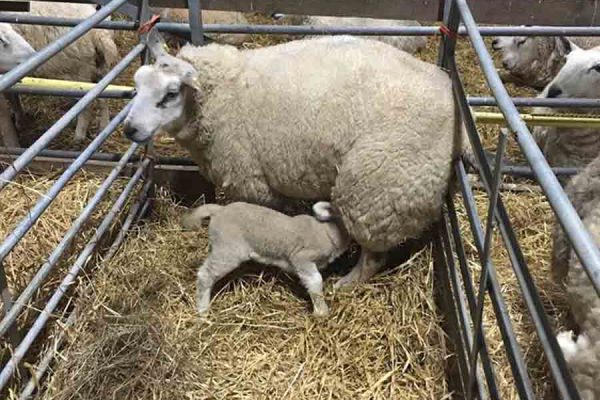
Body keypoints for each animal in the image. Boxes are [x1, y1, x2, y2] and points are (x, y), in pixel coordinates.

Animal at [0, 1, 120, 145]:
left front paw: (18, 120)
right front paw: (19, 117)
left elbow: (10, 95)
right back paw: (104, 127)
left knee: (86, 105)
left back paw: (79, 135)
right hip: (101, 68)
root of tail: (99, 33)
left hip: (79, 73)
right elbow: (13, 95)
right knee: (104, 98)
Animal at [123, 35, 468, 288]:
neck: (223, 91)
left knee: (373, 254)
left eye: (171, 94)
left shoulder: (251, 180)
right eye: (136, 84)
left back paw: (347, 282)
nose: (129, 129)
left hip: (377, 186)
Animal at [180, 200, 350, 316]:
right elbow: (315, 280)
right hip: (228, 250)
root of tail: (220, 210)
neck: (326, 231)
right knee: (205, 274)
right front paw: (321, 311)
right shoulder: (301, 257)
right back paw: (203, 311)